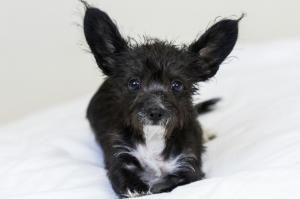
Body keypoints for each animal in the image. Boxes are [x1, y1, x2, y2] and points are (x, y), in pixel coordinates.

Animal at [82, 4, 241, 197]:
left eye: (177, 85)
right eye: (133, 83)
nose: (155, 112)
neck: (153, 138)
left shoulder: (189, 168)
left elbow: (169, 185)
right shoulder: (119, 158)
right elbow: (134, 187)